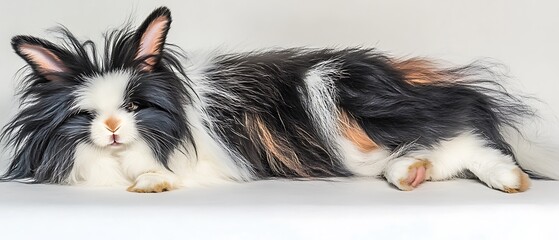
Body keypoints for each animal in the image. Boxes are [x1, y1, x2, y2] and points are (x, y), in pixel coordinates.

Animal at [2, 6, 556, 192]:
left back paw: (511, 181)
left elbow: (161, 172)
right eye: (86, 115)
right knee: (440, 155)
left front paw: (151, 184)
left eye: (136, 107)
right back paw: (410, 175)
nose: (114, 130)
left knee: (466, 142)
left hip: (336, 99)